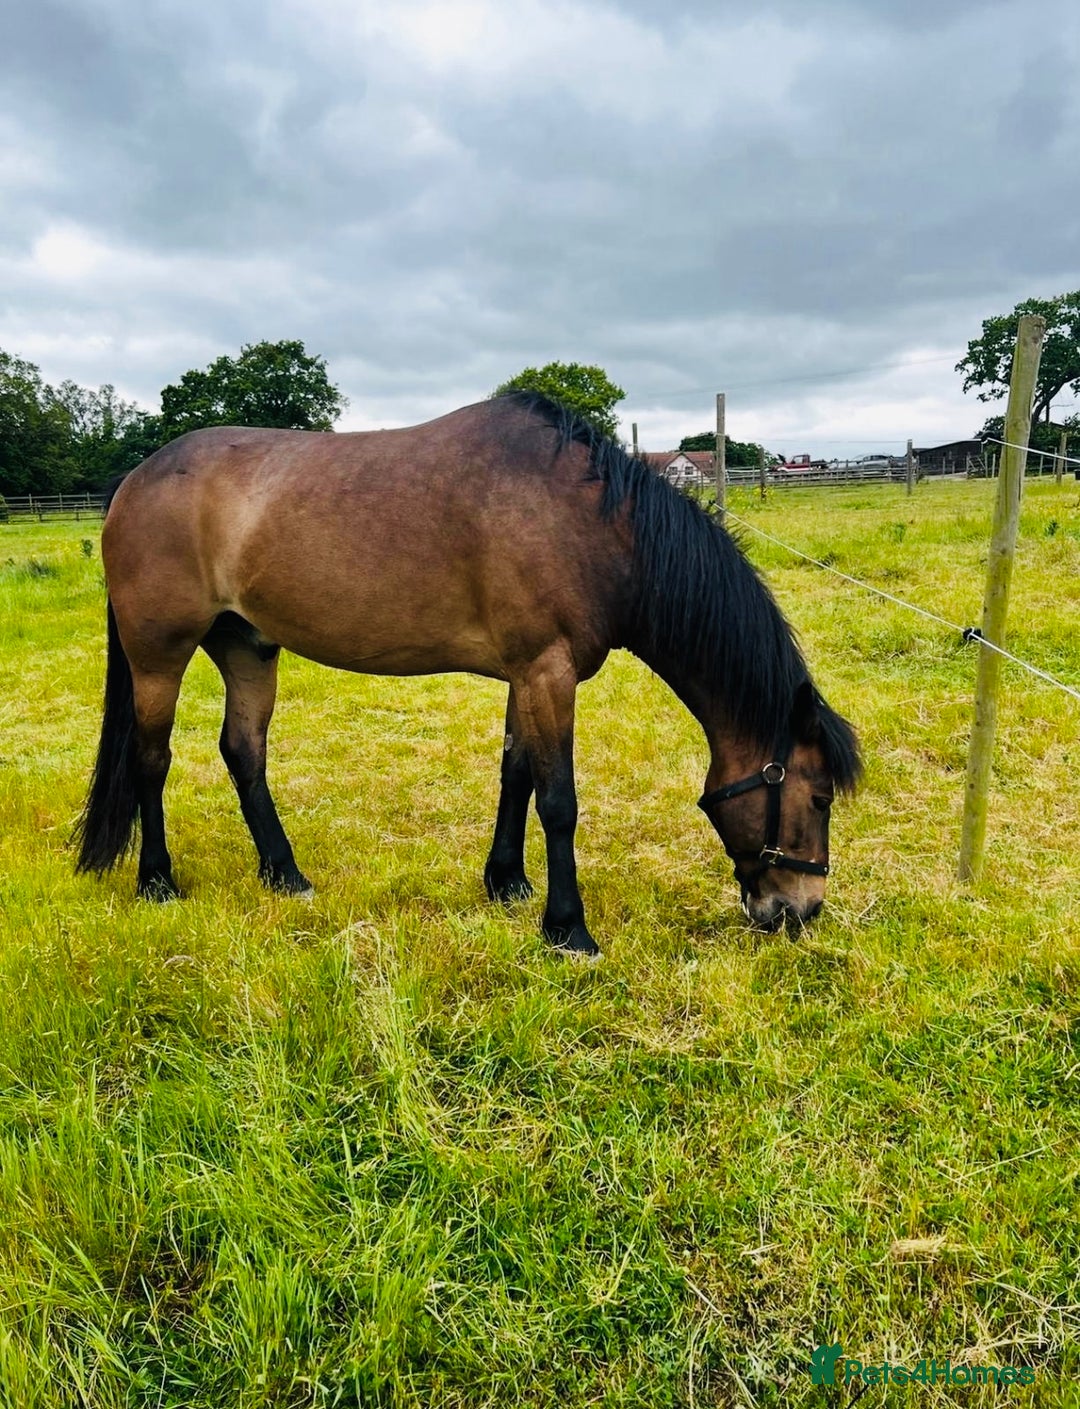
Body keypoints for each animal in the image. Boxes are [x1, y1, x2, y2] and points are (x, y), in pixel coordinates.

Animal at [75, 393, 860, 955]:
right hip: (159, 653)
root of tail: (133, 481)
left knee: (243, 751)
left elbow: (518, 773)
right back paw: (158, 881)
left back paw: (285, 874)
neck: (593, 528)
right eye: (819, 796)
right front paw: (568, 929)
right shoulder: (547, 671)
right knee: (152, 758)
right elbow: (559, 800)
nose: (799, 911)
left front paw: (506, 882)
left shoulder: (528, 673)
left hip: (247, 647)